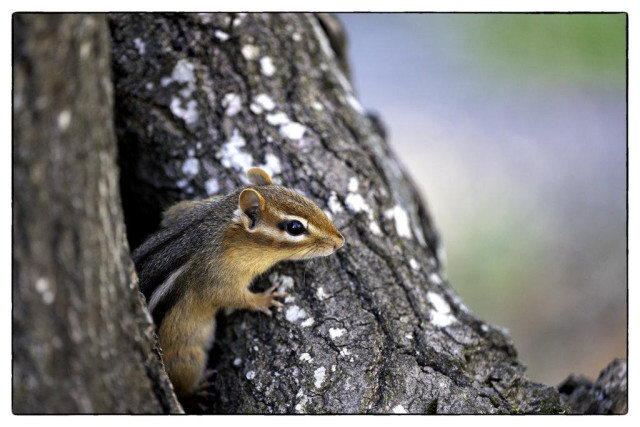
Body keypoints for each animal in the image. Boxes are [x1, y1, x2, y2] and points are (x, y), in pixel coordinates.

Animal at [132, 167, 345, 402]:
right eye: (295, 227)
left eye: (308, 201)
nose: (340, 241)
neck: (222, 227)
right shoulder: (216, 277)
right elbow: (232, 297)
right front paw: (264, 299)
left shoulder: (181, 211)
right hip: (187, 358)